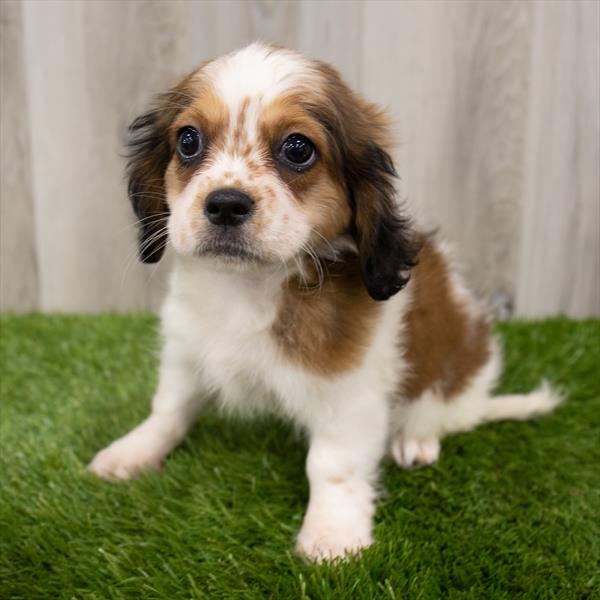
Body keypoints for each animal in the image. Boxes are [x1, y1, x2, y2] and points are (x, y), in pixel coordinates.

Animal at [90, 43, 564, 564]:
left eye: (298, 149)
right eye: (188, 141)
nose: (226, 204)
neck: (249, 289)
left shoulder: (349, 395)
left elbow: (331, 463)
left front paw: (332, 534)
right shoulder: (186, 350)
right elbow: (168, 409)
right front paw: (134, 451)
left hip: (454, 375)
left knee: (440, 410)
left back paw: (416, 438)